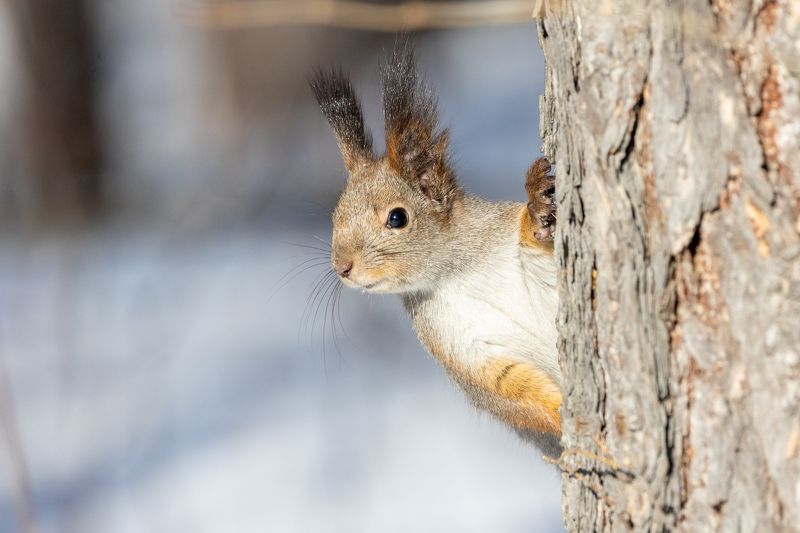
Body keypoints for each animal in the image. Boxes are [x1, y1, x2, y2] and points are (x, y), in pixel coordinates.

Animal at [309, 44, 561, 456]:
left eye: (397, 218)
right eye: (335, 216)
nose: (342, 267)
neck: (458, 272)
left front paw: (539, 210)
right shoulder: (459, 346)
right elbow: (509, 391)